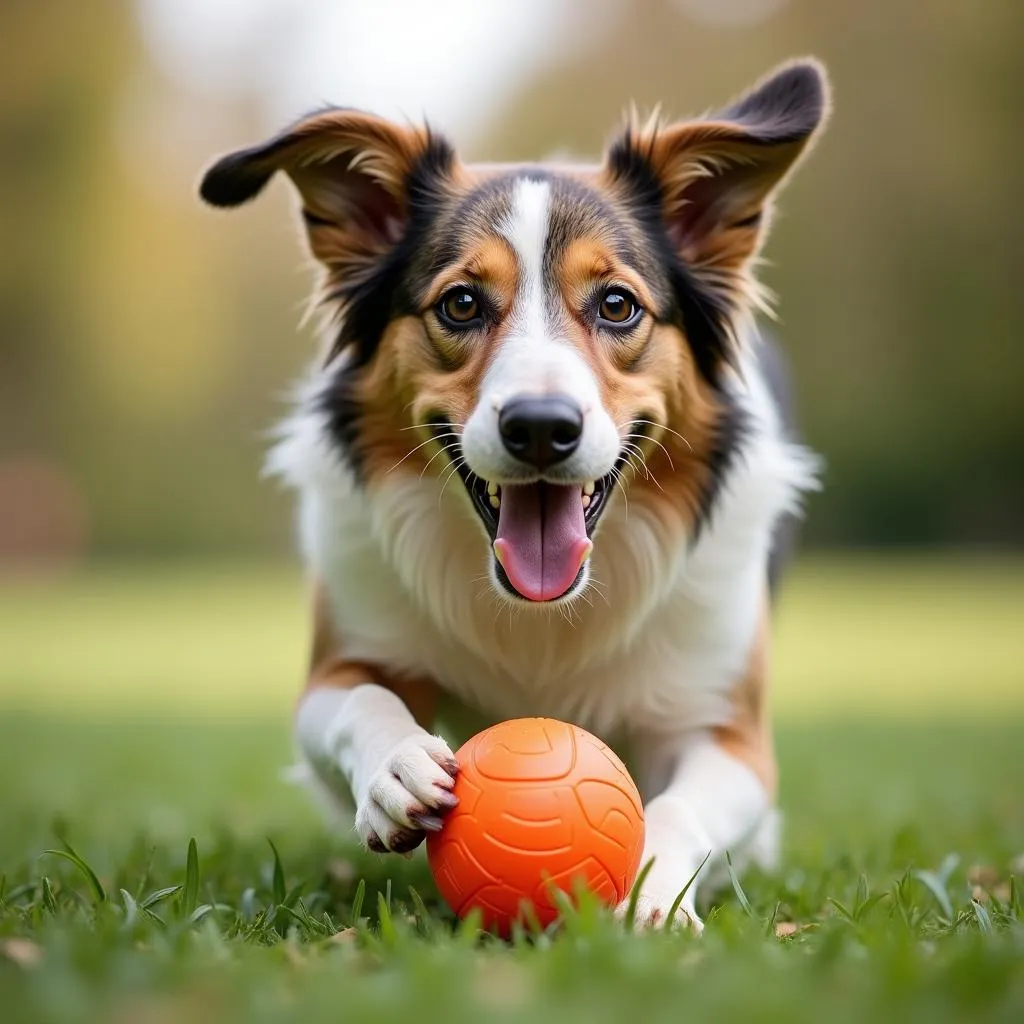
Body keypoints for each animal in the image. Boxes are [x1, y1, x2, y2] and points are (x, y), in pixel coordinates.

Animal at [199, 59, 831, 933]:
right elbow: (361, 698)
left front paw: (651, 888)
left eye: (617, 305)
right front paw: (397, 766)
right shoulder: (340, 659)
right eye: (461, 302)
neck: (541, 619)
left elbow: (683, 804)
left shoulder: (727, 726)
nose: (540, 427)